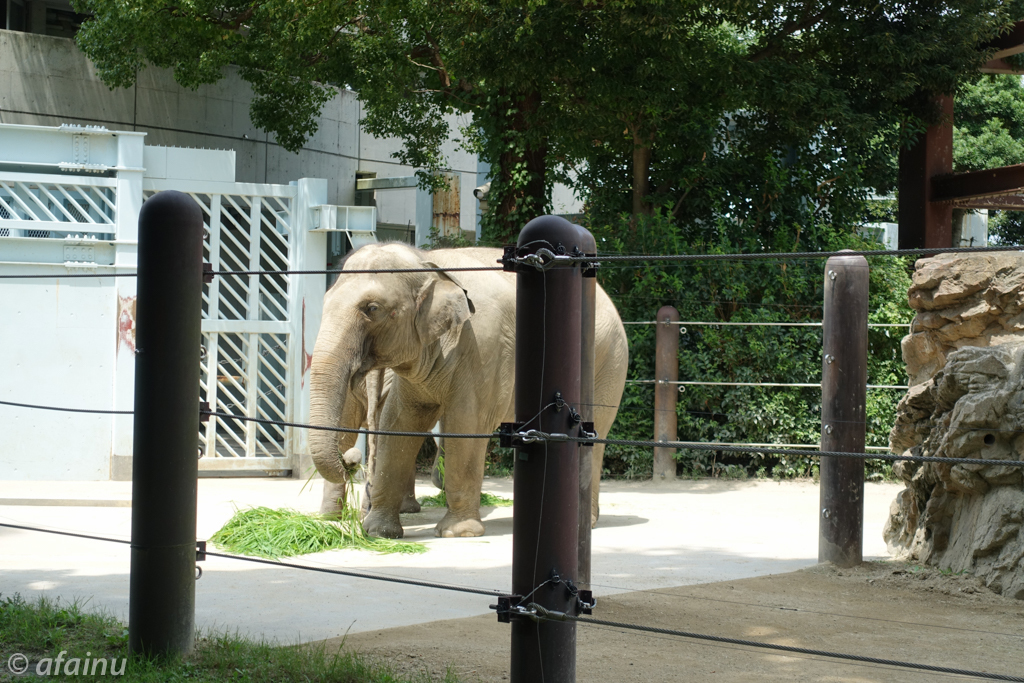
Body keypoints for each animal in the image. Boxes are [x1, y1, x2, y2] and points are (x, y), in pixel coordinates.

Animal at [307, 242, 626, 536]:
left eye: (372, 309)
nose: (351, 460)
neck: (429, 264)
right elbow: (398, 423)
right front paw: (377, 532)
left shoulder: (483, 347)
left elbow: (466, 422)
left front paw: (458, 532)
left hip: (609, 362)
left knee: (590, 435)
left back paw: (583, 524)